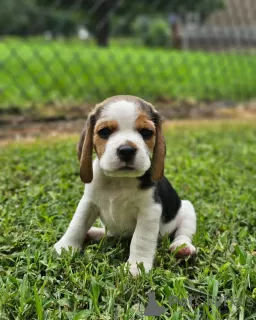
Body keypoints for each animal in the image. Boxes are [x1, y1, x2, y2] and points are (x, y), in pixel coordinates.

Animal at [54, 95, 197, 276]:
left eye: (147, 132)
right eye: (104, 132)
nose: (127, 150)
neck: (119, 180)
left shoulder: (149, 211)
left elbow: (140, 239)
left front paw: (136, 267)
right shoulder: (88, 203)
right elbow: (77, 224)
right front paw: (65, 247)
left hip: (187, 209)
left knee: (183, 233)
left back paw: (182, 248)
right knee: (109, 233)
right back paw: (93, 233)